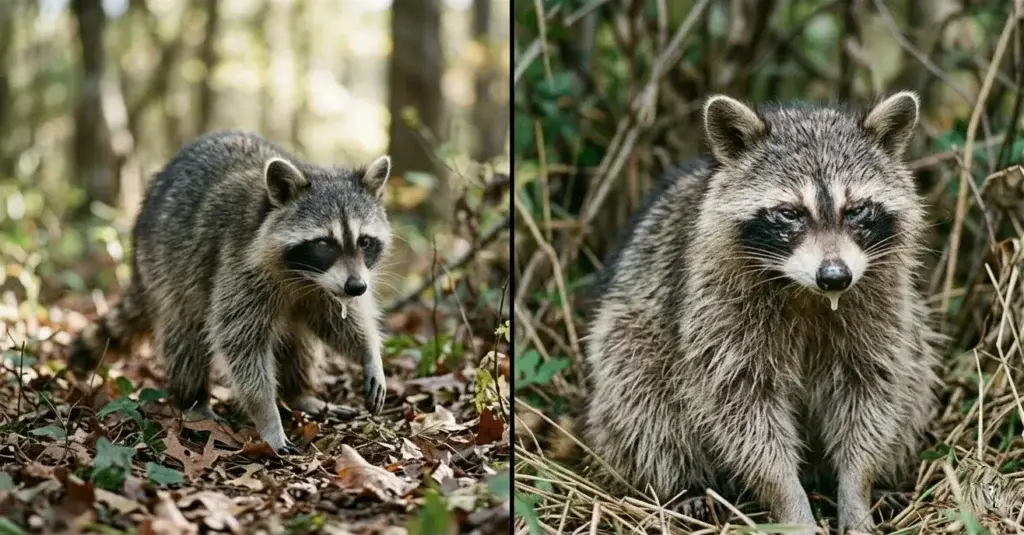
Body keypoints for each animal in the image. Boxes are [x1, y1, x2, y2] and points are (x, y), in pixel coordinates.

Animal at [68, 131, 392, 454]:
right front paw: (267, 415)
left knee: (300, 342)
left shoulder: (323, 288)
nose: (357, 287)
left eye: (364, 242)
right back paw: (194, 399)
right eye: (324, 244)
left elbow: (338, 322)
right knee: (185, 336)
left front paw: (368, 351)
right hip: (164, 269)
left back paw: (299, 393)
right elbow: (239, 342)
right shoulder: (238, 263)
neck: (302, 275)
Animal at [583, 92, 942, 534]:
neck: (807, 292)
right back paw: (683, 487)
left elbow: (874, 392)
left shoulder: (882, 302)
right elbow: (743, 410)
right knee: (640, 393)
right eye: (790, 213)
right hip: (631, 328)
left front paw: (858, 489)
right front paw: (790, 503)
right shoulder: (715, 311)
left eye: (856, 209)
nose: (835, 277)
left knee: (916, 370)